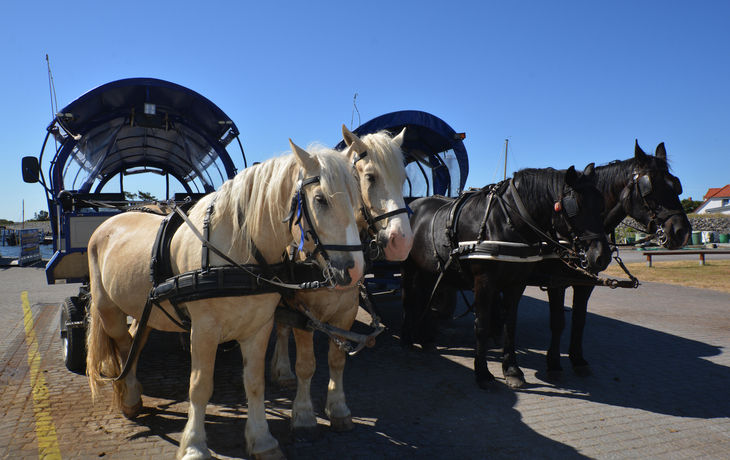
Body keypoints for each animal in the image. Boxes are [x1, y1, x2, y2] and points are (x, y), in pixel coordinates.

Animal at [86, 140, 364, 460]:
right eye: (320, 199)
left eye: (357, 201)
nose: (355, 270)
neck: (238, 254)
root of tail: (110, 220)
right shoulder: (203, 331)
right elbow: (200, 387)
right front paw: (194, 445)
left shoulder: (259, 327)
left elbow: (254, 383)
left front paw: (262, 439)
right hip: (108, 310)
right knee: (122, 344)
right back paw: (130, 395)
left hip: (148, 311)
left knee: (135, 339)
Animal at [270, 126, 412, 438]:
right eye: (370, 177)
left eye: (404, 180)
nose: (403, 242)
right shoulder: (302, 315)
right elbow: (306, 364)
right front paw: (303, 414)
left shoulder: (346, 312)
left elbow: (337, 360)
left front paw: (338, 409)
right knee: (282, 329)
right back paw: (282, 371)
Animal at [400, 164, 612, 390]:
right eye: (576, 206)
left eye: (601, 205)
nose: (602, 257)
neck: (505, 221)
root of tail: (413, 203)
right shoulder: (484, 281)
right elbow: (481, 325)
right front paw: (483, 373)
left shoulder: (517, 284)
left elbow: (510, 325)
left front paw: (512, 370)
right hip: (408, 265)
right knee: (408, 300)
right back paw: (406, 340)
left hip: (431, 270)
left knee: (424, 297)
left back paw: (427, 339)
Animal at [532, 140, 692, 380]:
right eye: (650, 187)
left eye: (676, 186)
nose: (682, 232)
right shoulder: (555, 280)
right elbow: (558, 322)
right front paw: (554, 364)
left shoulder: (587, 281)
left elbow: (579, 320)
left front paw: (578, 360)